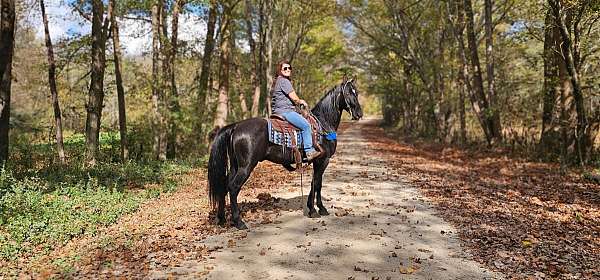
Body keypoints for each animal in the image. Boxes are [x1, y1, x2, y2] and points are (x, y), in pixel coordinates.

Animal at [209, 77, 364, 230]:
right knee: (233, 187)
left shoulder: (318, 161)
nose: (359, 114)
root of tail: (235, 126)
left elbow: (315, 183)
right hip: (246, 166)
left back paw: (221, 219)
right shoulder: (323, 160)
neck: (323, 123)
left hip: (235, 165)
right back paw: (239, 222)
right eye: (349, 93)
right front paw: (317, 210)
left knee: (224, 185)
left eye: (356, 92)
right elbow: (317, 183)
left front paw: (314, 208)